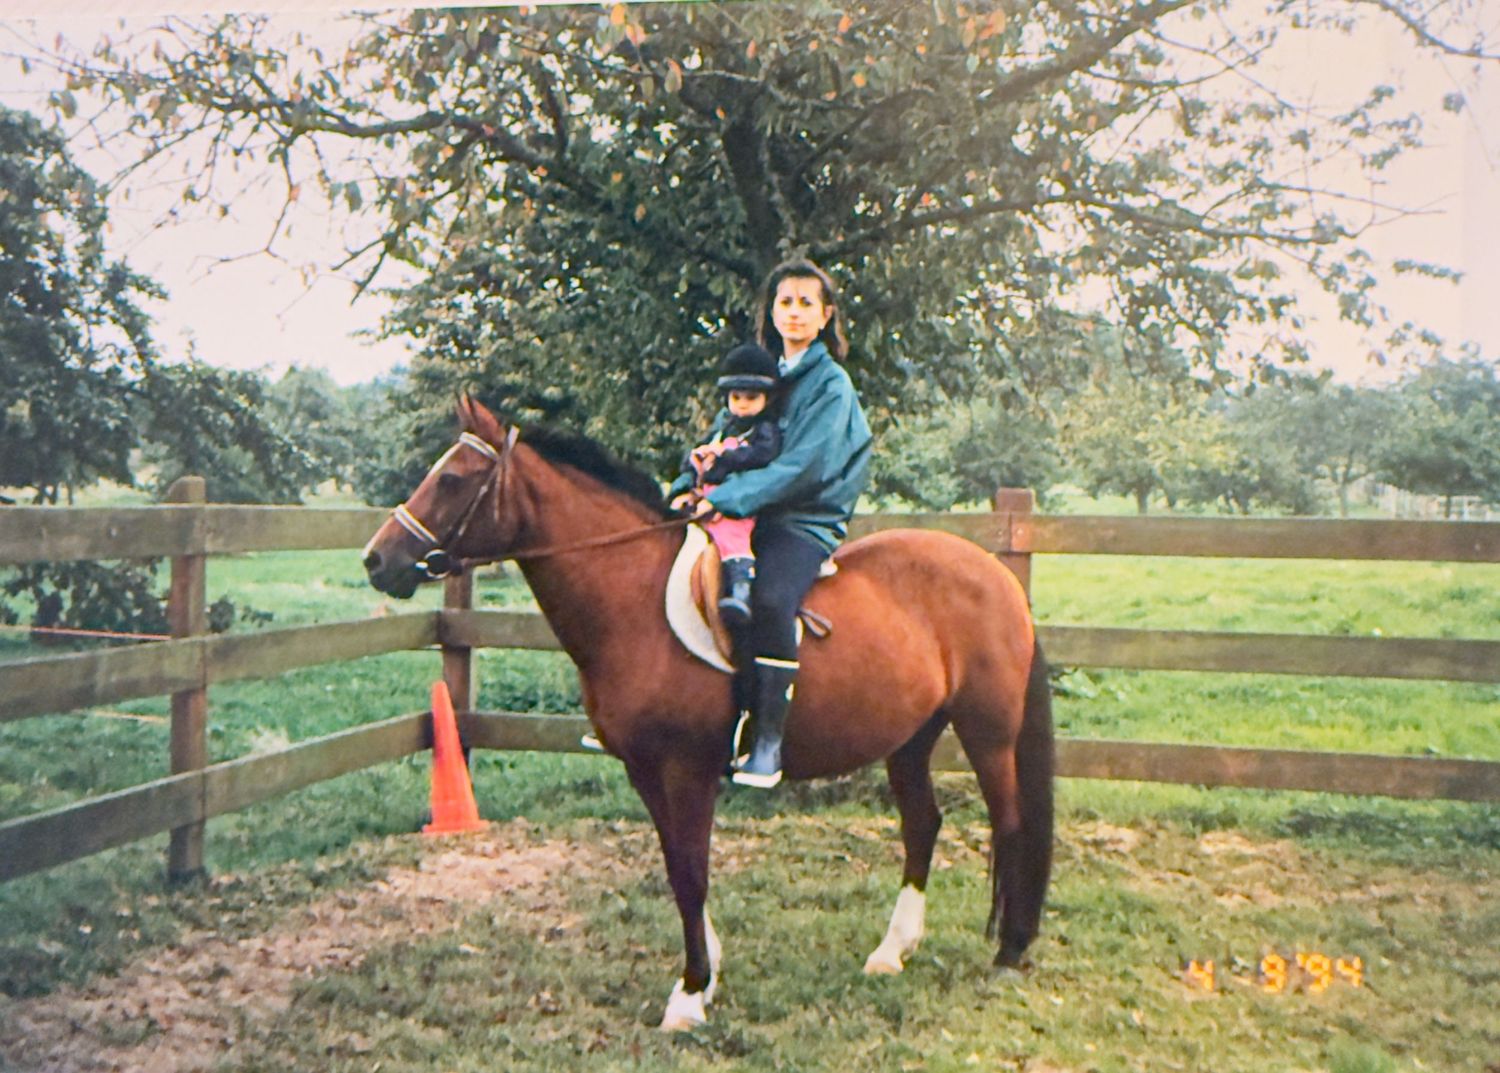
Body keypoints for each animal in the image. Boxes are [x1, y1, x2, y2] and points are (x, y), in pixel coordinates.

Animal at [362, 396, 1054, 1031]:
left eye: (452, 479)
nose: (376, 560)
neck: (634, 599)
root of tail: (995, 574)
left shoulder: (686, 769)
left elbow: (692, 873)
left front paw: (690, 995)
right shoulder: (645, 770)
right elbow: (677, 869)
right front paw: (707, 973)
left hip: (988, 733)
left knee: (1010, 823)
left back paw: (1009, 950)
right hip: (910, 739)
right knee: (923, 826)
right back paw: (893, 951)